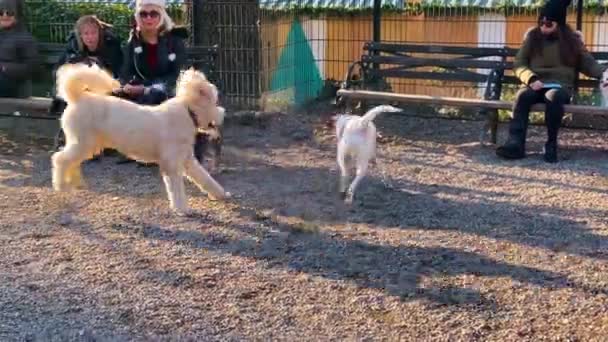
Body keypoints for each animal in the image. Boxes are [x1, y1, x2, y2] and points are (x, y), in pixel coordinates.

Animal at [52, 62, 232, 215]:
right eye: (215, 102)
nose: (223, 113)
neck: (188, 112)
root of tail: (77, 97)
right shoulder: (172, 165)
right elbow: (176, 189)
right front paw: (181, 208)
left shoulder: (188, 160)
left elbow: (204, 178)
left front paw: (220, 194)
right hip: (82, 143)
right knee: (60, 159)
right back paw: (61, 186)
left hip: (85, 145)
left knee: (71, 161)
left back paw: (73, 182)